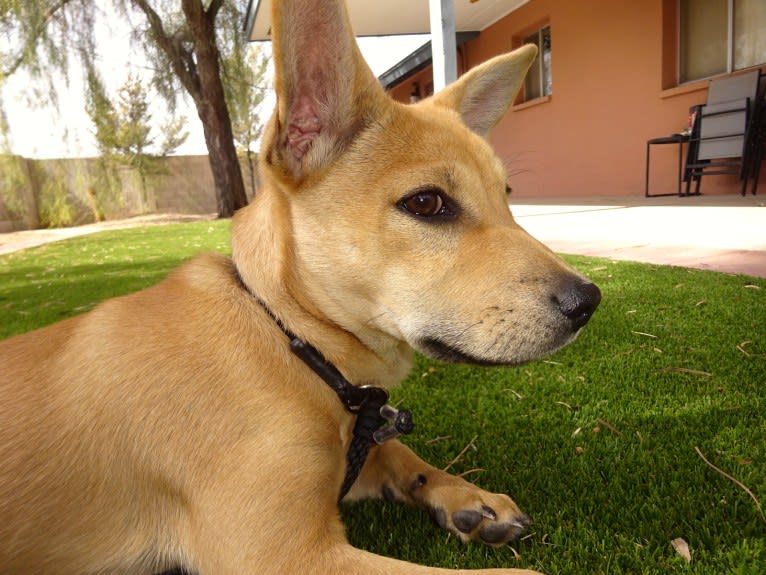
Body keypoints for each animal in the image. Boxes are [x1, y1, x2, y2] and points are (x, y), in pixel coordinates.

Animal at [0, 1, 600, 575]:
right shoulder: (284, 555)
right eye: (427, 203)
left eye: (507, 196)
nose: (589, 302)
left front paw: (468, 497)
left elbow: (397, 455)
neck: (287, 336)